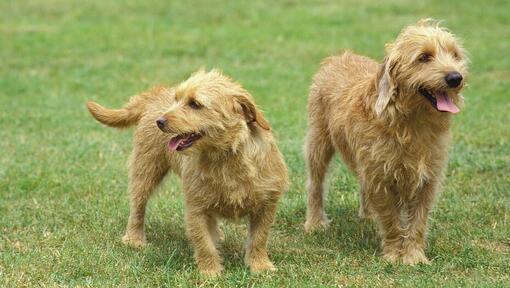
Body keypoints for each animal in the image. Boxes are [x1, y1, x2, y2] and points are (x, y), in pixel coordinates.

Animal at [86, 68, 288, 276]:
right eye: (177, 99)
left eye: (194, 104)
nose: (159, 121)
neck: (226, 157)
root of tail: (156, 95)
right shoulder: (195, 206)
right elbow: (203, 243)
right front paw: (210, 272)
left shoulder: (267, 204)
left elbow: (259, 238)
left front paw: (260, 266)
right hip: (145, 170)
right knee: (138, 206)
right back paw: (134, 238)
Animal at [304, 19, 468, 264]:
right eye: (424, 57)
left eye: (455, 54)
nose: (455, 78)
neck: (411, 124)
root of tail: (339, 57)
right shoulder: (381, 177)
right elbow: (391, 219)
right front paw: (393, 254)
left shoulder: (427, 179)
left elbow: (418, 221)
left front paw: (414, 256)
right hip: (318, 143)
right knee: (316, 184)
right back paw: (315, 222)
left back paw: (369, 215)